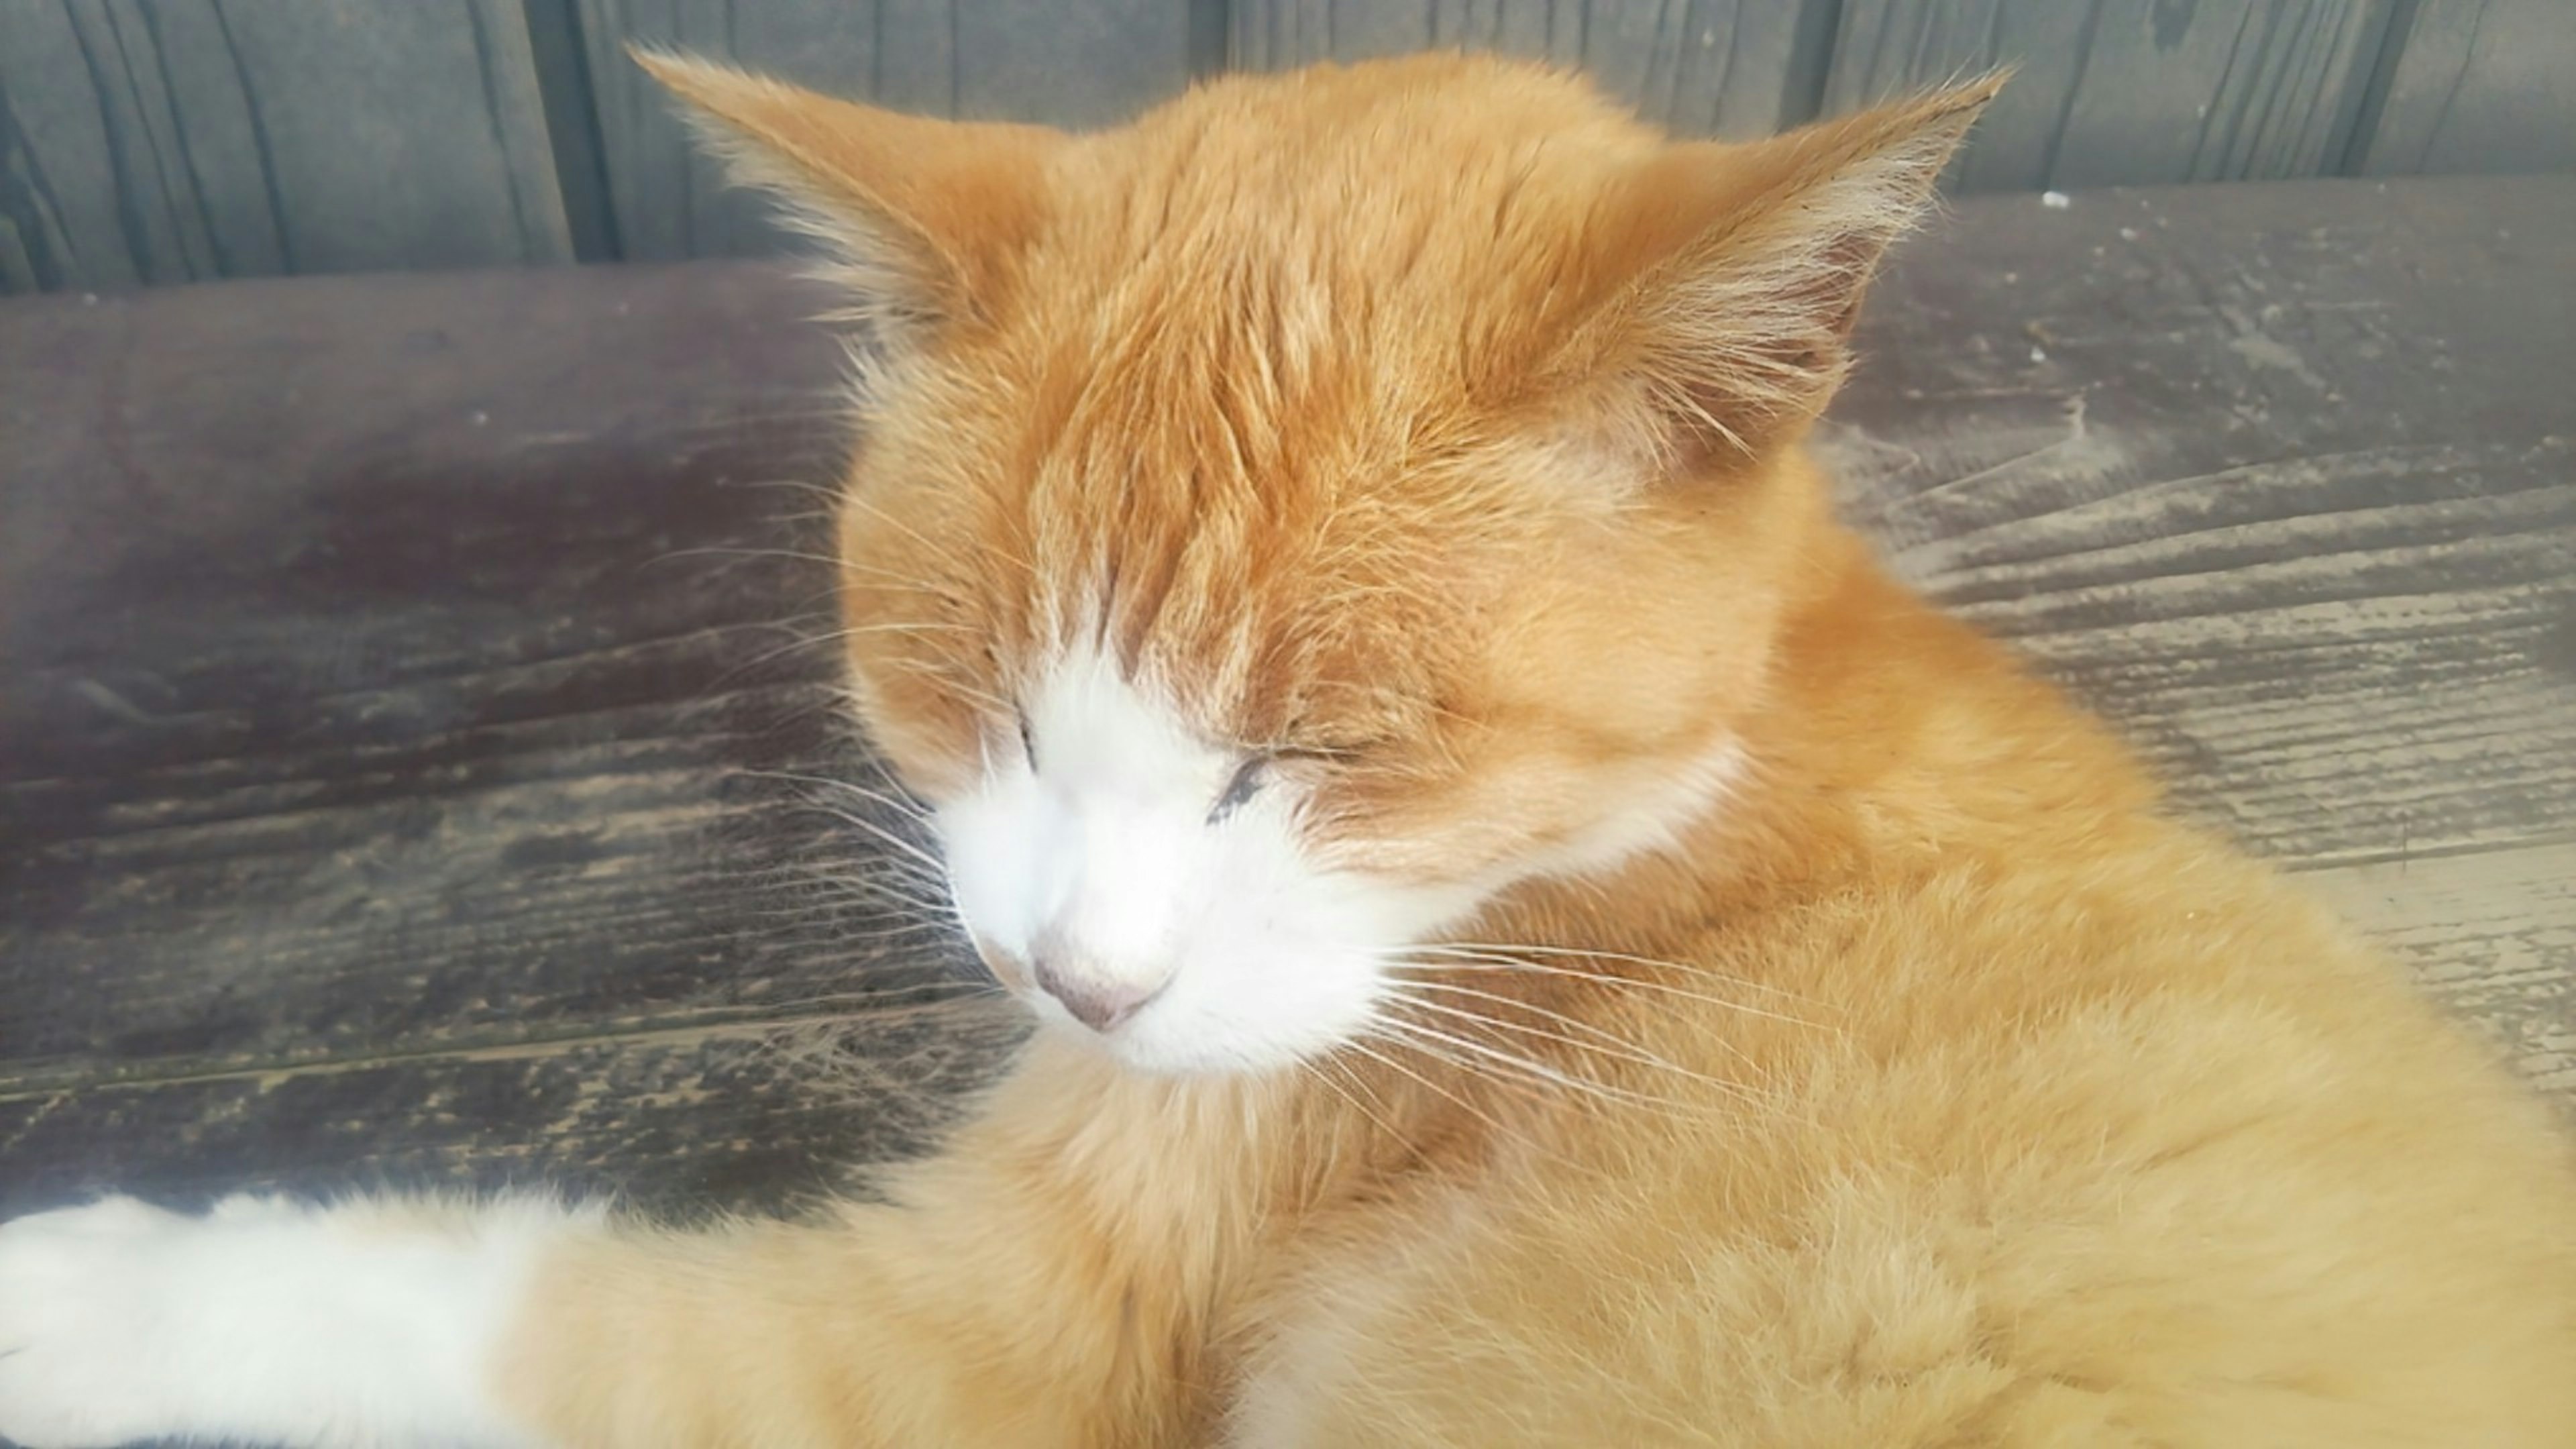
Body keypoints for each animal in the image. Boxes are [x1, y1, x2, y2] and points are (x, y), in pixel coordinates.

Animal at [5, 50, 2576, 1433]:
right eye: (977, 700)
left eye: (1319, 760)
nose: (1074, 983)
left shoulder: (969, 1351)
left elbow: (463, 1308)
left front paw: (84, 1295)